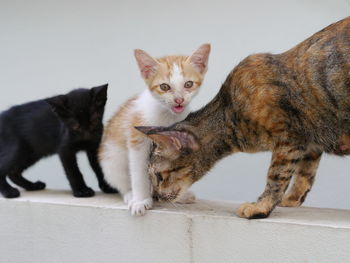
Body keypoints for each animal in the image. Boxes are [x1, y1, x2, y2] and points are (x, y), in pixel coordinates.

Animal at [99, 43, 211, 217]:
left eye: (188, 84)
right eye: (164, 87)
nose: (179, 100)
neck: (167, 115)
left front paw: (177, 194)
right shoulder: (137, 138)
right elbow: (139, 171)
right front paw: (140, 201)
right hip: (111, 159)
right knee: (120, 181)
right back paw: (130, 195)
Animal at [136, 17, 350, 221]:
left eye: (158, 176)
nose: (155, 196)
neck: (229, 114)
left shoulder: (289, 138)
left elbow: (277, 176)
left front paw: (261, 207)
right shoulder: (311, 144)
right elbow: (304, 175)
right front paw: (291, 200)